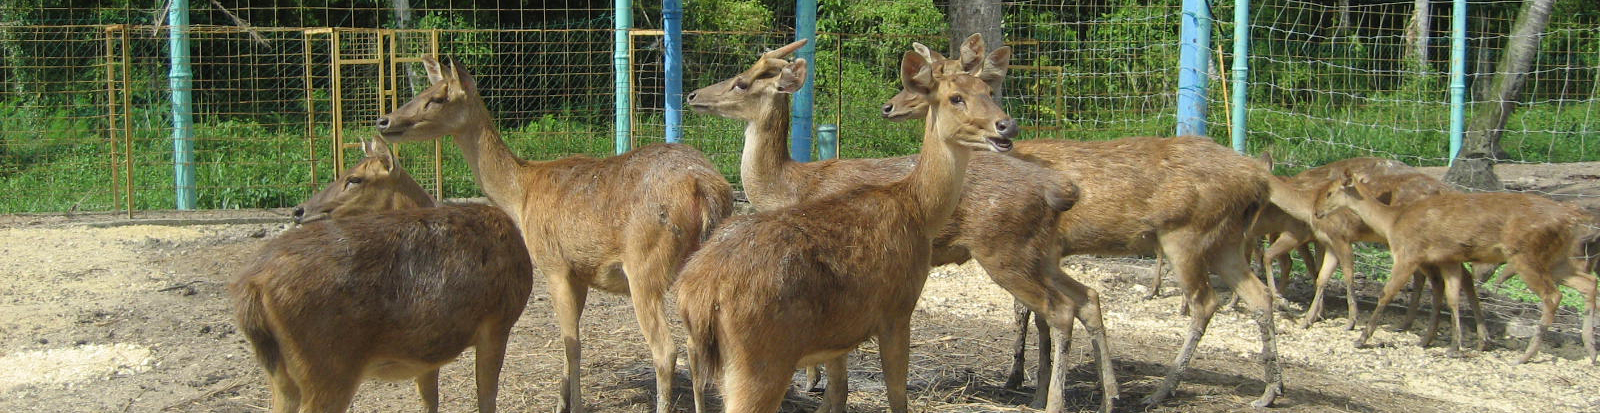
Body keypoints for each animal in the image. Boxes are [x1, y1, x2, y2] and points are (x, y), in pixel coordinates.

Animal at [230, 138, 531, 413]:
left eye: (354, 179)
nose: (298, 210)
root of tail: (250, 287)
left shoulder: (431, 350)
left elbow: (430, 399)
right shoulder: (498, 321)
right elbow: (486, 396)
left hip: (281, 374)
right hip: (328, 366)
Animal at [374, 55, 732, 413]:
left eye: (438, 98)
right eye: (423, 90)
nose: (383, 120)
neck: (521, 195)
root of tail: (704, 187)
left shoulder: (553, 264)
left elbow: (572, 344)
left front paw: (576, 405)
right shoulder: (581, 273)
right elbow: (569, 342)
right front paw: (561, 402)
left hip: (644, 266)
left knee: (666, 349)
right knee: (696, 346)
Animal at [688, 36, 1113, 413]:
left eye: (742, 82)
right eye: (956, 97)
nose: (693, 96)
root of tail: (1060, 187)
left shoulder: (889, 311)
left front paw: (812, 382)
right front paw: (814, 383)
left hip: (1010, 252)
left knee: (1060, 308)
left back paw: (1057, 399)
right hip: (1038, 253)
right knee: (1081, 300)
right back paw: (1088, 397)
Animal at [1318, 169, 1593, 363]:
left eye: (1330, 192)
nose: (1318, 212)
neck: (1391, 222)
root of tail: (1573, 217)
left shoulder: (1408, 253)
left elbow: (1386, 293)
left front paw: (1362, 337)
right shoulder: (1448, 259)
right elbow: (1452, 297)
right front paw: (1454, 346)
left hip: (1525, 255)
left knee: (1552, 295)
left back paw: (1525, 356)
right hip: (1557, 259)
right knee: (1589, 283)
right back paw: (1591, 350)